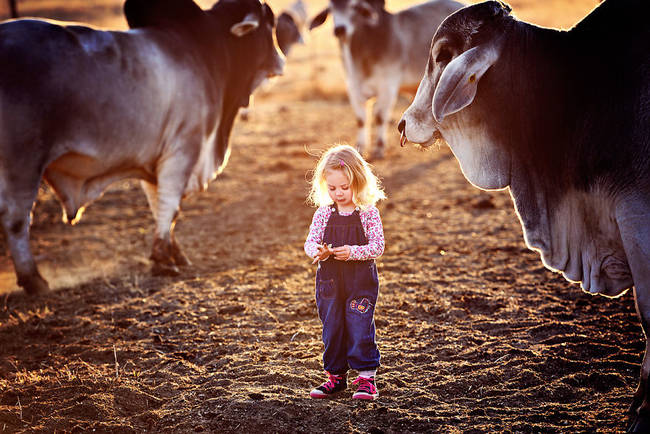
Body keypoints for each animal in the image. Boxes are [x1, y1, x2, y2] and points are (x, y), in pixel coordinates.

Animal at [0, 0, 284, 294]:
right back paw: (33, 279)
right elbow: (170, 204)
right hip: (24, 160)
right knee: (15, 218)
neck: (206, 53)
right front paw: (163, 260)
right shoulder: (183, 149)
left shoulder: (154, 159)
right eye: (269, 24)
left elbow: (159, 207)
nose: (281, 61)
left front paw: (174, 253)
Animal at [308, 0, 460, 160]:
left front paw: (379, 148)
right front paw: (359, 148)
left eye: (354, 6)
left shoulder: (387, 86)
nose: (340, 29)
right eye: (330, 9)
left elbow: (380, 117)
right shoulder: (353, 87)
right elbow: (361, 119)